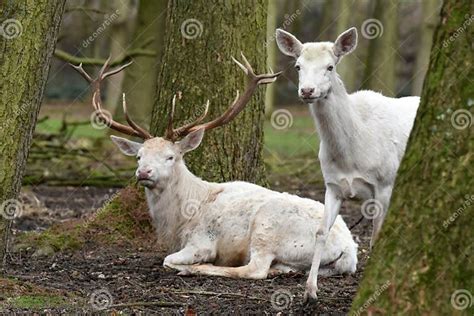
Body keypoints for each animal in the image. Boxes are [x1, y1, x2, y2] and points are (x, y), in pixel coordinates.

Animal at [71, 54, 356, 282]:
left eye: (170, 157)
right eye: (139, 156)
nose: (143, 173)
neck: (179, 221)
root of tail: (350, 251)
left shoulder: (202, 241)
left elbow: (168, 259)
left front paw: (190, 264)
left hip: (268, 227)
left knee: (255, 269)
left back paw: (197, 269)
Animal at [276, 27, 420, 302]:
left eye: (330, 66)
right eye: (298, 66)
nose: (307, 91)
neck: (351, 154)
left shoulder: (383, 184)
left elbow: (375, 235)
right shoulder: (332, 185)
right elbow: (321, 232)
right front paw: (310, 291)